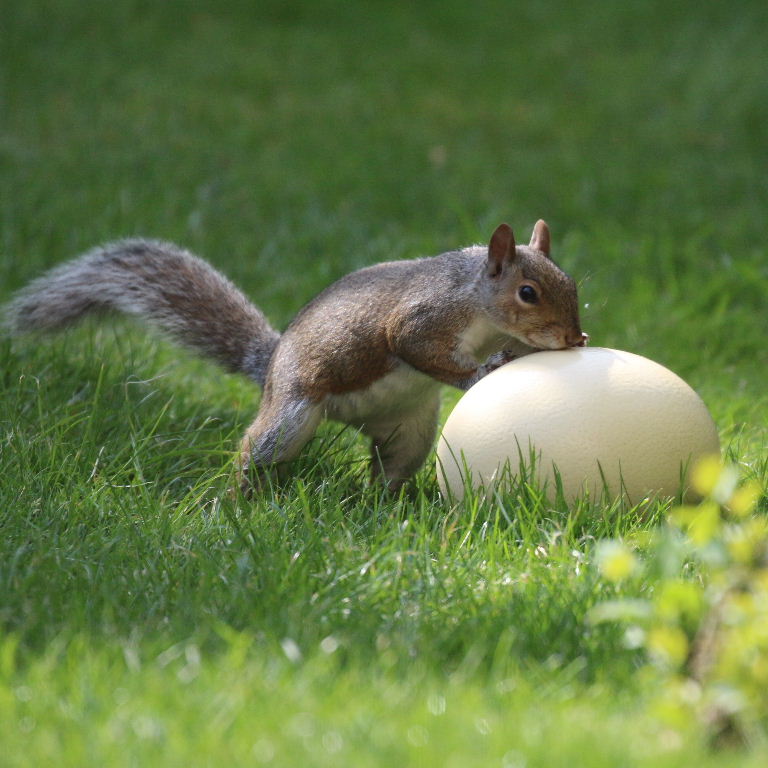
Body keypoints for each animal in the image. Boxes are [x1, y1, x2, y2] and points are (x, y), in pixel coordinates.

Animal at [4, 220, 587, 492]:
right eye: (528, 293)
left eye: (573, 284)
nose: (574, 338)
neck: (476, 301)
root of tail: (271, 367)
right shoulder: (424, 318)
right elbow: (415, 346)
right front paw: (480, 372)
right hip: (292, 410)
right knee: (256, 450)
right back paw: (237, 501)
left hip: (408, 431)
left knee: (390, 467)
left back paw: (387, 505)